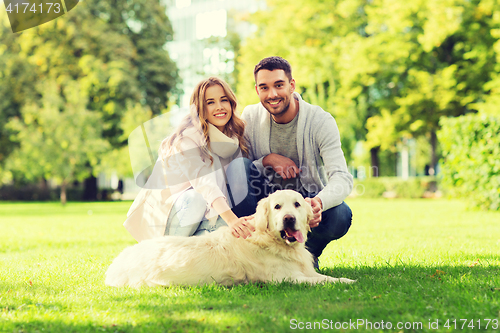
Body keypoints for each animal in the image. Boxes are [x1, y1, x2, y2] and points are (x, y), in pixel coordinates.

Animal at [105, 189, 356, 286]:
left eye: (297, 204)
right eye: (277, 207)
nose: (288, 219)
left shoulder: (304, 271)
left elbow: (325, 276)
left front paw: (347, 280)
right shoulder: (287, 279)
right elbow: (322, 281)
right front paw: (349, 282)